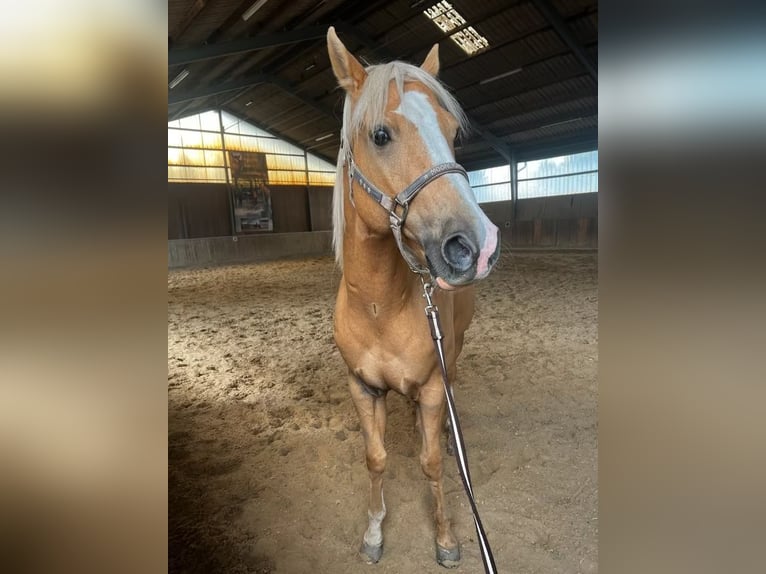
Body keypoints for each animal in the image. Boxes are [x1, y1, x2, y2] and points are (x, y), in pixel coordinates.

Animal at [327, 27, 501, 567]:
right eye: (381, 135)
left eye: (452, 131)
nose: (477, 244)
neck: (379, 306)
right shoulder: (362, 387)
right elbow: (376, 458)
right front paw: (373, 533)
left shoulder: (431, 385)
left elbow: (431, 464)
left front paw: (445, 540)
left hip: (455, 351)